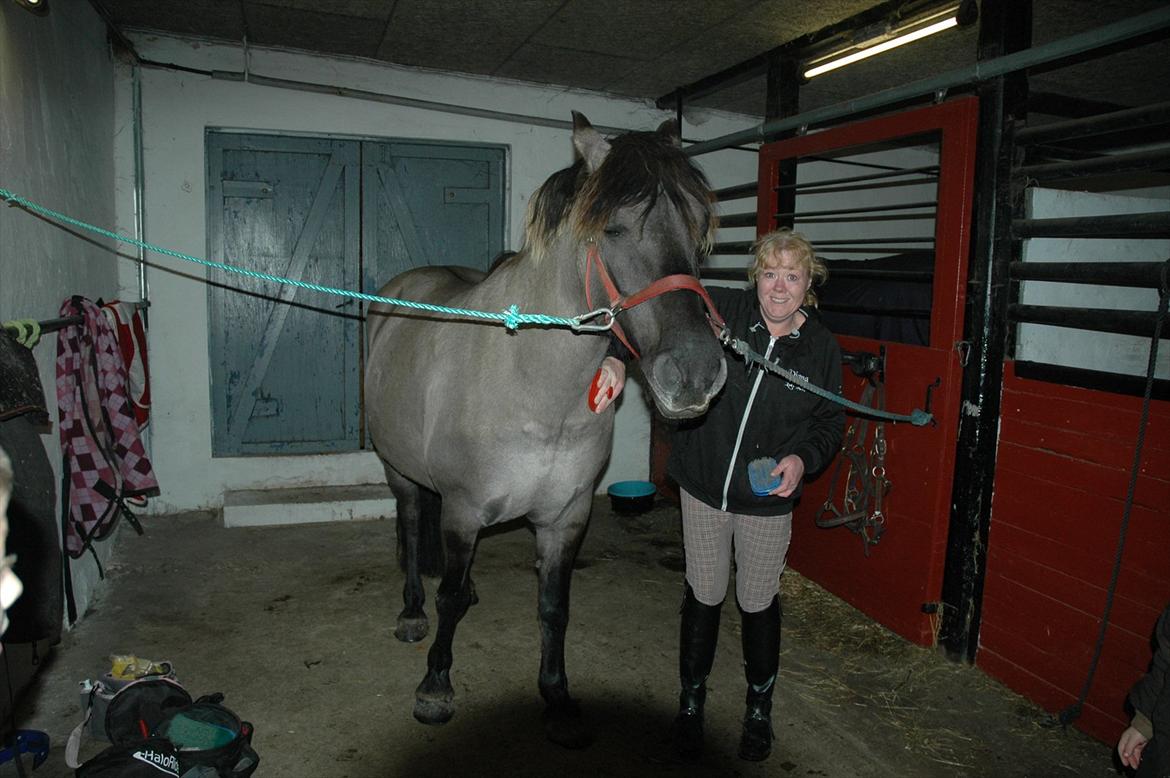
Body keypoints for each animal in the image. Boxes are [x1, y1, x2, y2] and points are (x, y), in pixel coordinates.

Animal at [367, 110, 730, 748]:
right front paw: (435, 686)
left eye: (696, 226)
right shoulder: (462, 511)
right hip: (400, 471)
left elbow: (553, 607)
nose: (695, 372)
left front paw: (557, 698)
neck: (533, 387)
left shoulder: (566, 517)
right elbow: (447, 596)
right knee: (412, 527)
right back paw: (411, 612)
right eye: (613, 229)